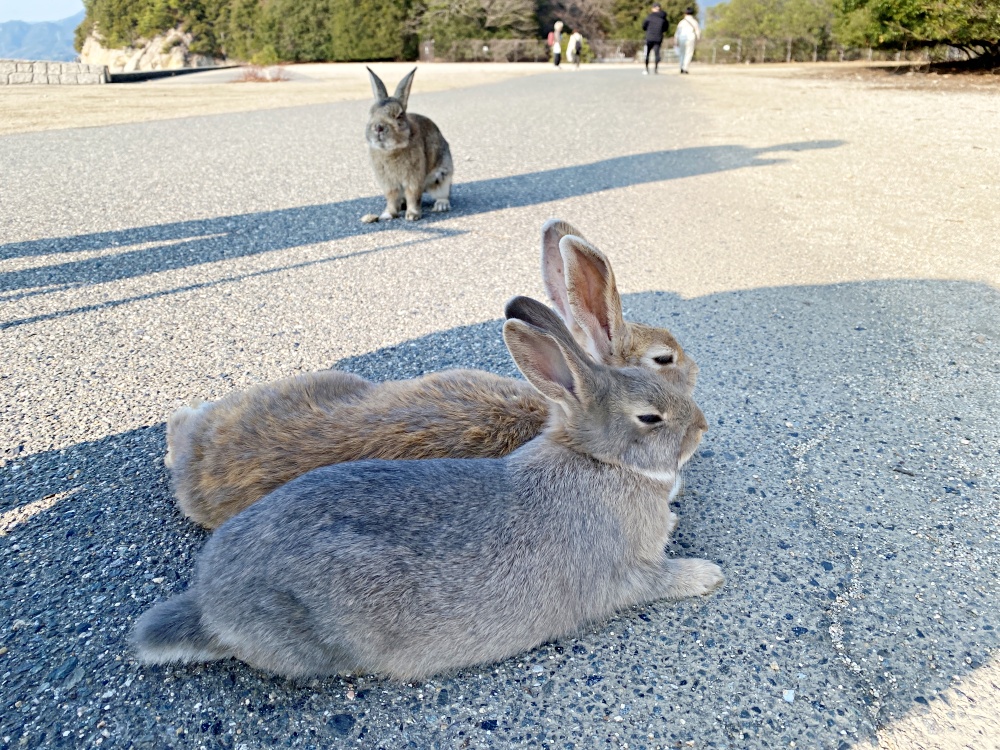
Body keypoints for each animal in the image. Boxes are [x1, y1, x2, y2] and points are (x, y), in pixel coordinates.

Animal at [135, 296, 728, 684]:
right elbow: (658, 580)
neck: (600, 460)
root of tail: (211, 606)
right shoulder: (627, 571)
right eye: (649, 416)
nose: (701, 426)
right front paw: (707, 576)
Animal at [360, 67, 454, 223]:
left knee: (443, 194)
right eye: (371, 113)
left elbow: (413, 196)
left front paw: (412, 216)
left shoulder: (413, 179)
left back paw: (441, 205)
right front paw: (388, 214)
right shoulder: (389, 183)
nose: (379, 127)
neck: (391, 150)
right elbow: (391, 198)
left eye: (399, 115)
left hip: (442, 176)